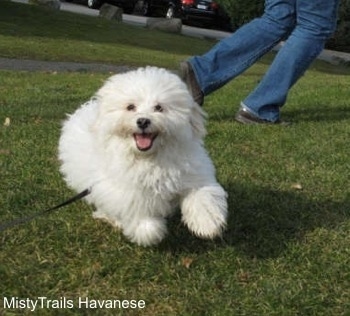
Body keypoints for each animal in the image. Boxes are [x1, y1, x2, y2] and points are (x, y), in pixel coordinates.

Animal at [58, 65, 228, 246]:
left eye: (159, 107)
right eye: (130, 107)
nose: (143, 121)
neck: (149, 157)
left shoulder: (193, 176)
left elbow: (202, 197)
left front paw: (207, 225)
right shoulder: (127, 194)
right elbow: (142, 220)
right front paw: (149, 232)